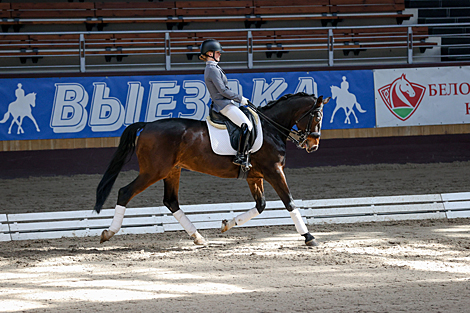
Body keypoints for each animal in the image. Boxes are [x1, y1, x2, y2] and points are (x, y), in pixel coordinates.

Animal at [94, 92, 330, 246]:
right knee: (125, 192)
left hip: (172, 171)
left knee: (171, 201)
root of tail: (147, 125)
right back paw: (108, 233)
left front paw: (227, 224)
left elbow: (261, 205)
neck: (270, 127)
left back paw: (198, 237)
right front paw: (309, 237)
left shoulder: (254, 176)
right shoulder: (274, 171)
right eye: (317, 116)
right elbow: (289, 202)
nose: (313, 145)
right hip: (153, 171)